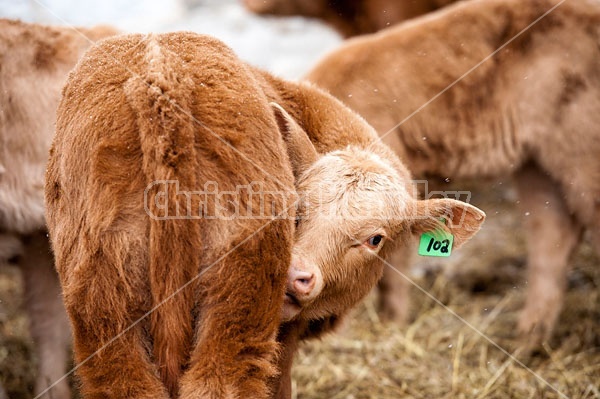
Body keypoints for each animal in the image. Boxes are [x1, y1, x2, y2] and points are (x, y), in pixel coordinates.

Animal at [43, 33, 482, 399]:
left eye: (375, 238)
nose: (296, 276)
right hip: (235, 318)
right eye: (297, 209)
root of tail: (160, 76)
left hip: (106, 310)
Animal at [308, 0, 600, 350]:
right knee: (552, 233)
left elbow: (393, 263)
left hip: (581, 147)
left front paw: (389, 323)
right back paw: (528, 339)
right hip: (535, 162)